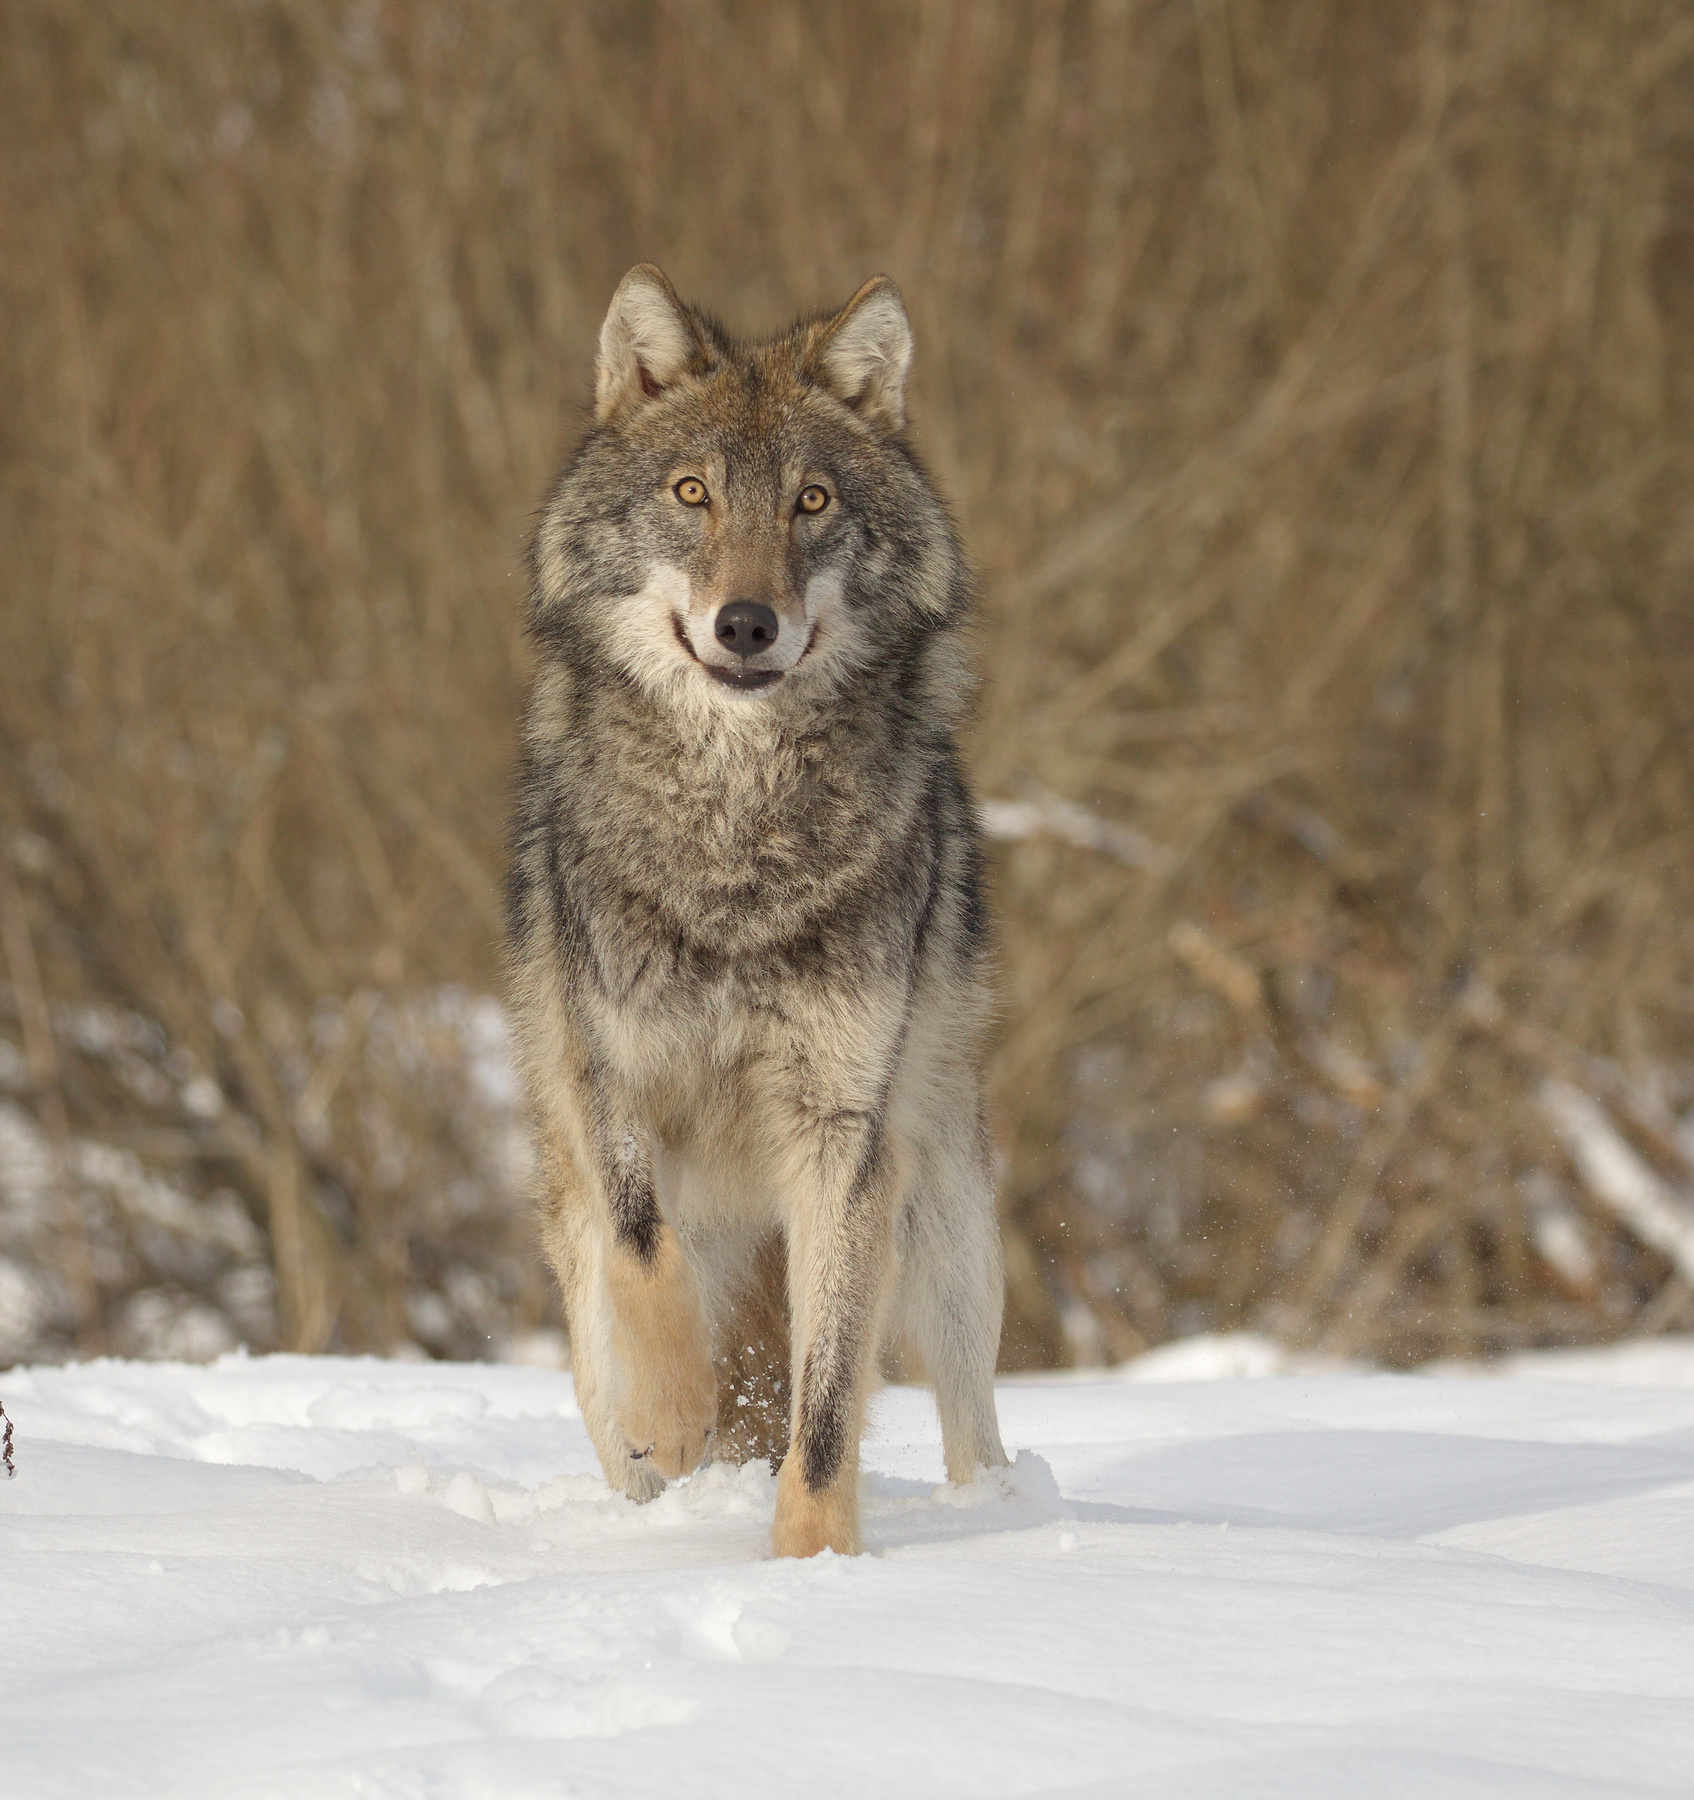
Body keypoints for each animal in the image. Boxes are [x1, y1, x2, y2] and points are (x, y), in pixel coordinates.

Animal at [505, 265, 1009, 1557]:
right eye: (692, 494)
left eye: (811, 501)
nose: (746, 623)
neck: (737, 847)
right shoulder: (610, 1076)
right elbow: (647, 1248)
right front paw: (675, 1411)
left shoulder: (844, 1135)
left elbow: (823, 1408)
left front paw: (816, 1567)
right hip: (576, 1265)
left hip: (943, 1231)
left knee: (970, 1421)